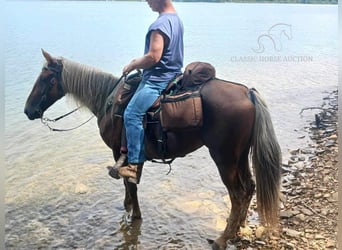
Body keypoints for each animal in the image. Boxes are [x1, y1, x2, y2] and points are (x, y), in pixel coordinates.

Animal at [23, 49, 280, 249]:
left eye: (46, 79)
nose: (28, 110)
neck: (108, 101)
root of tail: (247, 93)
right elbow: (129, 184)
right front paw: (127, 206)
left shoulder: (120, 152)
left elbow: (130, 183)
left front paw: (134, 214)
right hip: (239, 157)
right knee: (249, 187)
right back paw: (239, 228)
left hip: (224, 158)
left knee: (237, 194)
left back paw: (222, 238)